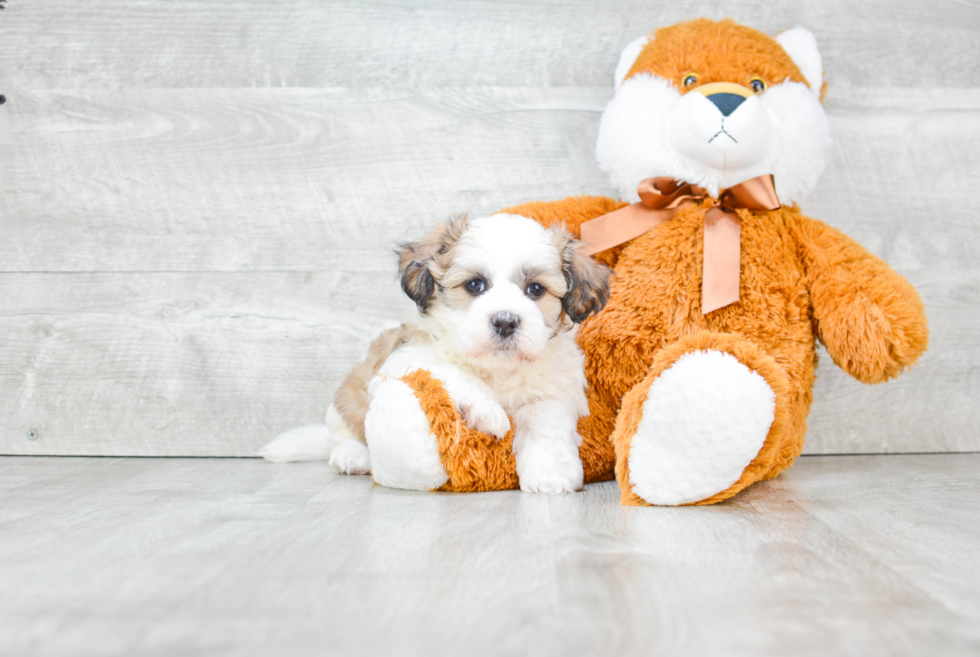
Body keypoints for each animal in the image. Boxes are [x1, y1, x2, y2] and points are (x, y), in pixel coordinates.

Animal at [260, 213, 612, 494]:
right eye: (475, 285)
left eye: (536, 289)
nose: (505, 321)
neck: (495, 369)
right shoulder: (401, 360)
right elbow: (447, 369)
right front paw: (488, 409)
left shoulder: (554, 390)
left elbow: (546, 421)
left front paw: (550, 474)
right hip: (349, 394)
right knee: (343, 431)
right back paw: (353, 455)